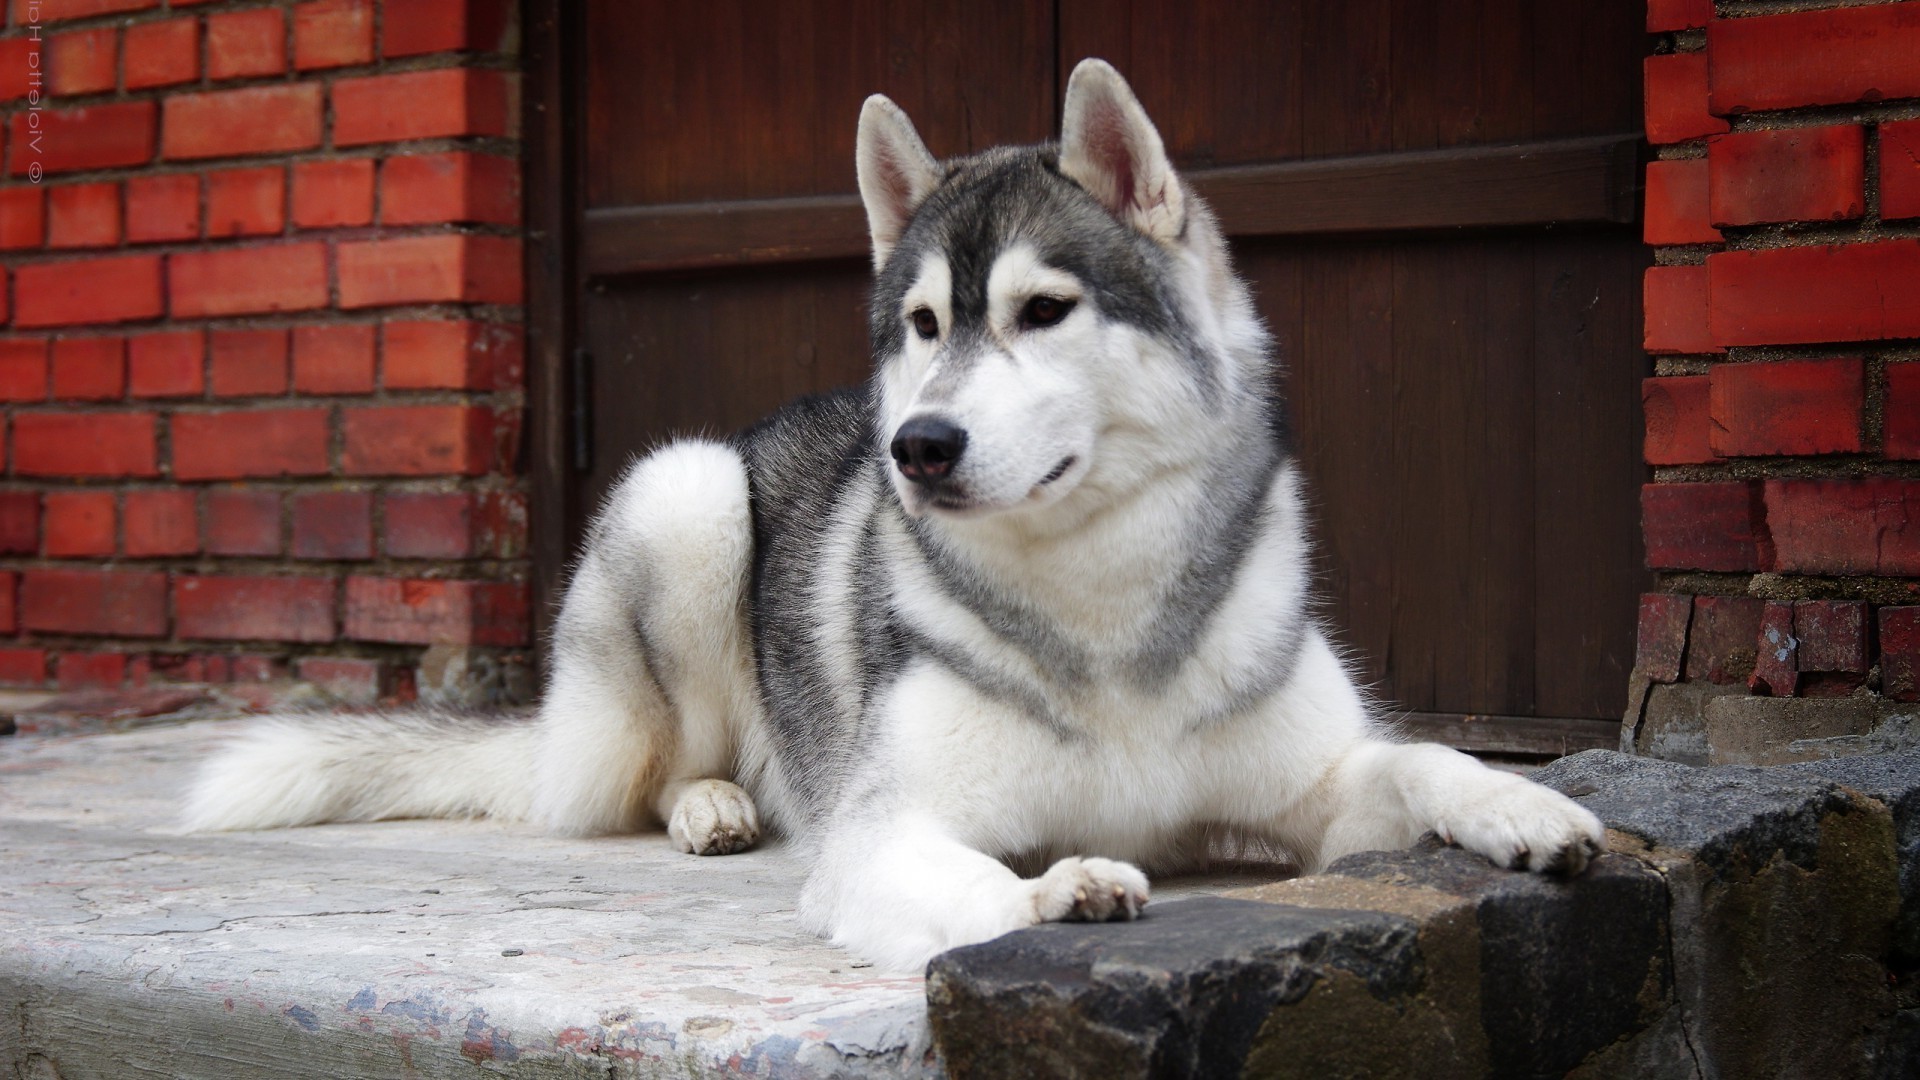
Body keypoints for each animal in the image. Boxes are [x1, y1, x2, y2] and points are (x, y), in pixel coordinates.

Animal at [191, 56, 1605, 968]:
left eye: (1044, 310)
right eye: (923, 324)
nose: (916, 445)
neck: (1097, 607)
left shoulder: (1311, 784)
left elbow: (1412, 761)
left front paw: (1529, 810)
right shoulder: (885, 831)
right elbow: (973, 876)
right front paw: (1057, 892)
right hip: (685, 495)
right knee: (648, 774)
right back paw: (713, 804)